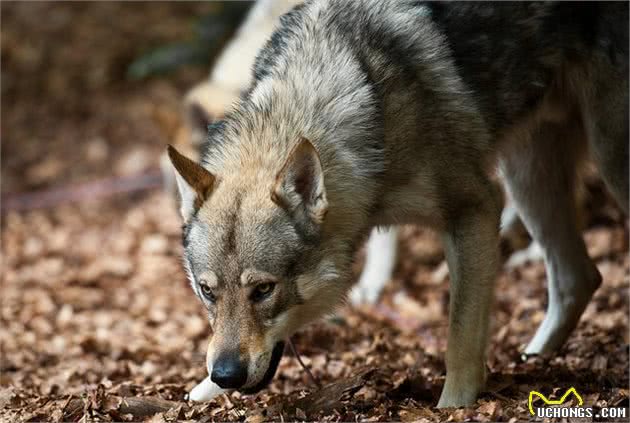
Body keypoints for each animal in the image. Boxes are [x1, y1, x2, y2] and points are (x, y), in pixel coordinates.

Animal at [169, 1, 630, 410]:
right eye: (207, 292)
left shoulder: (476, 209)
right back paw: (535, 360)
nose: (226, 374)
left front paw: (454, 406)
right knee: (579, 278)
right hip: (528, 177)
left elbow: (460, 336)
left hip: (605, 164)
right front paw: (199, 392)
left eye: (263, 290)